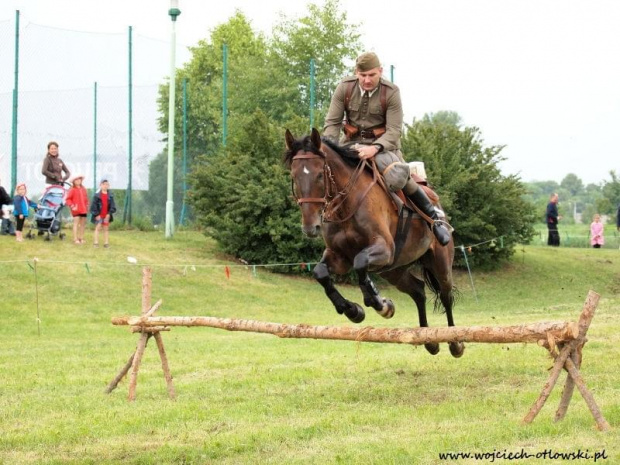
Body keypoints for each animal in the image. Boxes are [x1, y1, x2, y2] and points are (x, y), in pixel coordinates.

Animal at [284, 127, 462, 356]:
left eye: (319, 175)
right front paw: (353, 310)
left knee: (446, 295)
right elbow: (320, 273)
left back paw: (455, 343)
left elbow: (360, 263)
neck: (346, 206)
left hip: (440, 262)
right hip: (394, 270)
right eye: (294, 176)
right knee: (418, 291)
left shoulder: (384, 249)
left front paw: (381, 304)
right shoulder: (340, 257)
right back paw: (428, 340)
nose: (310, 227)